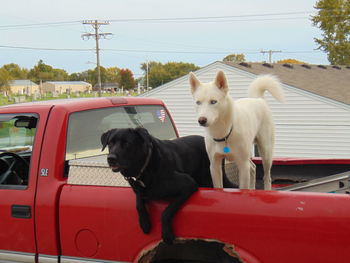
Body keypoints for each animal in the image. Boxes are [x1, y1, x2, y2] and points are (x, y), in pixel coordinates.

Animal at [101, 128, 232, 245]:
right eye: (110, 143)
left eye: (127, 144)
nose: (110, 158)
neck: (145, 168)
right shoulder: (139, 191)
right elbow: (138, 204)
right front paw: (144, 223)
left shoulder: (188, 184)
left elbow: (166, 211)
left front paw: (166, 234)